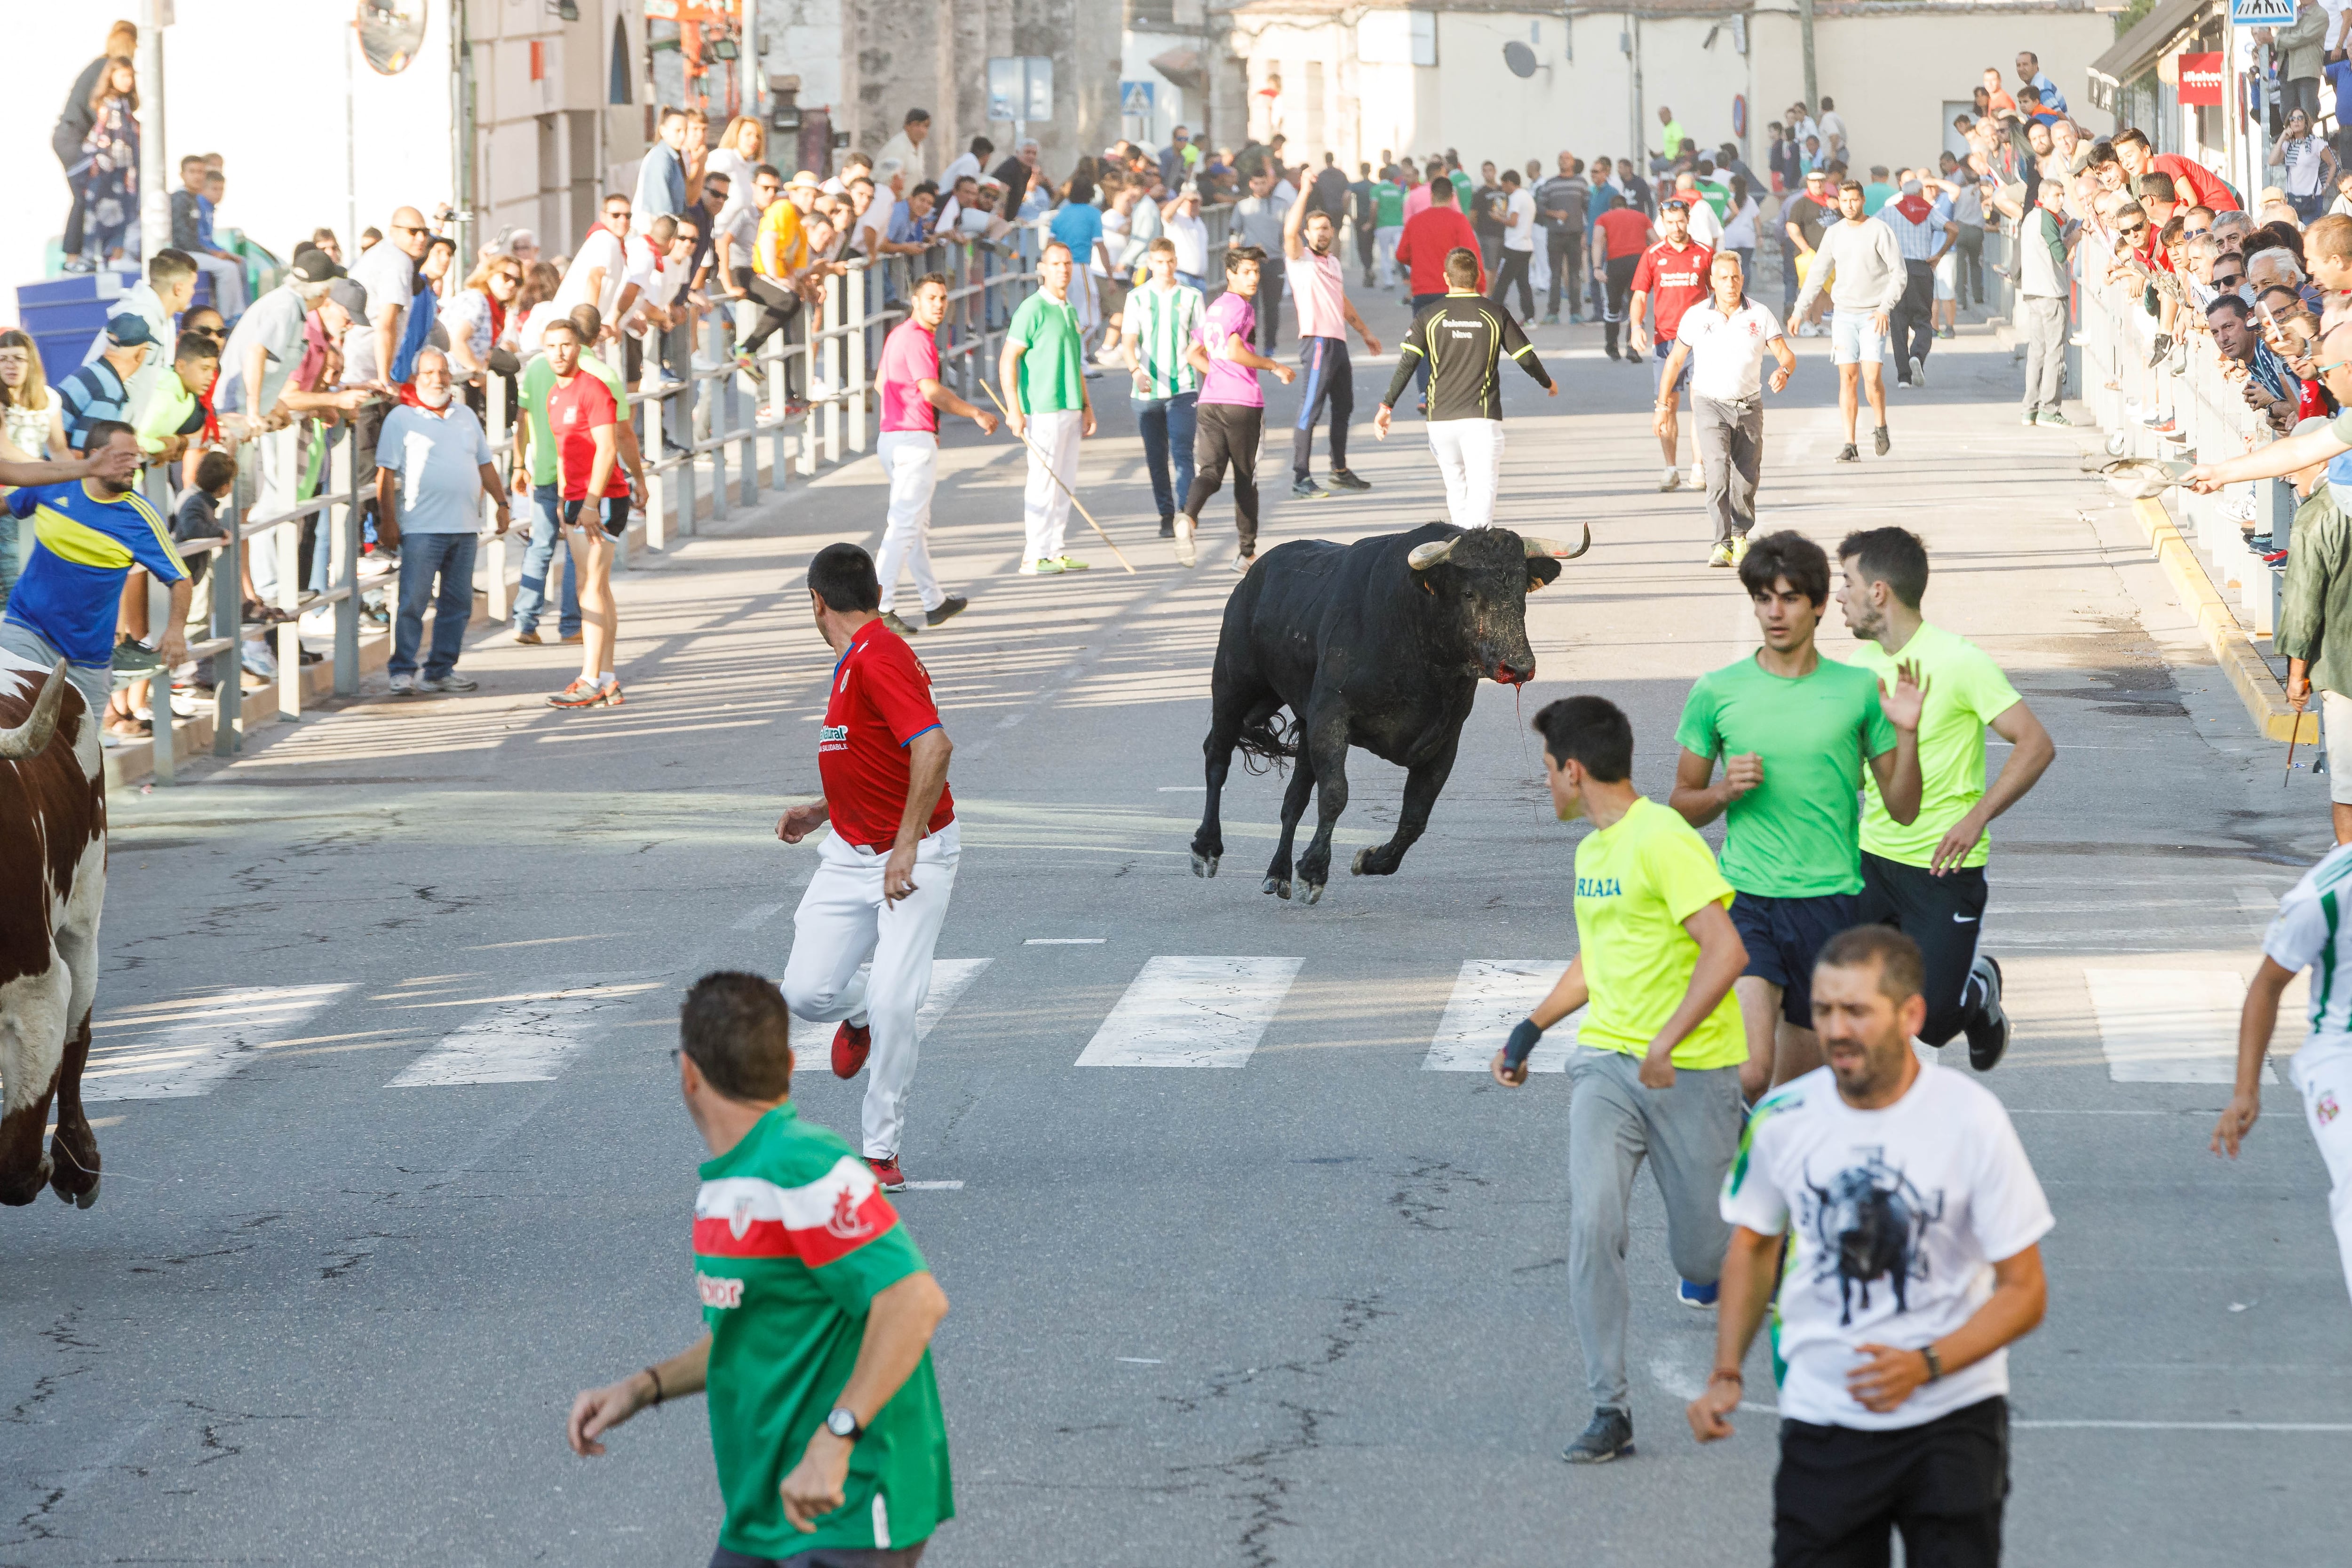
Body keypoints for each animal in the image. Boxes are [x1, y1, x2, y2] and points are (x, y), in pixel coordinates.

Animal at [1185, 522, 1590, 903]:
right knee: (1217, 755)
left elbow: (1415, 816)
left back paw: (1278, 874)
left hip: (1293, 714)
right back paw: (1207, 849)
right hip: (1233, 686)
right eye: (1468, 593)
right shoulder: (1332, 716)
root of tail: (1252, 578)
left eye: (1521, 592)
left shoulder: (1444, 740)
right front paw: (1314, 872)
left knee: (1294, 797)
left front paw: (1370, 860)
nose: (1519, 666)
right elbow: (1335, 794)